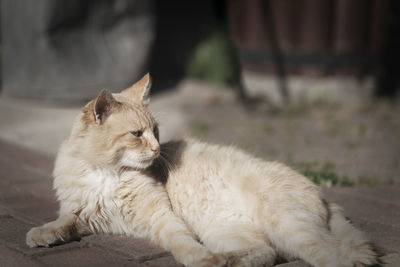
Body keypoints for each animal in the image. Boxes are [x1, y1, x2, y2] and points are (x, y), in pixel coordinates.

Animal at [26, 74, 376, 267]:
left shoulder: (162, 217)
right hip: (226, 231)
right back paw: (227, 262)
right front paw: (42, 233)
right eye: (138, 134)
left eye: (156, 131)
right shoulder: (86, 214)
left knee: (329, 254)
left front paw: (196, 258)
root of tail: (326, 198)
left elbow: (181, 243)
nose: (157, 149)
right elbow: (64, 221)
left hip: (288, 225)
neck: (107, 173)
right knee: (265, 253)